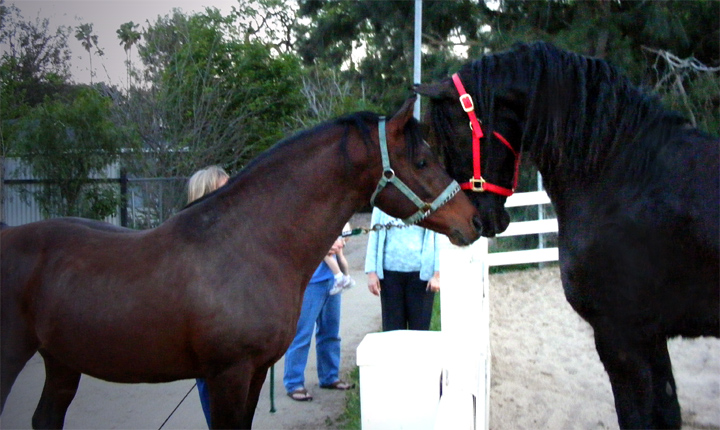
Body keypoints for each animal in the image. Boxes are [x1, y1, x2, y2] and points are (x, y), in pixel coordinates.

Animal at [1, 97, 484, 430]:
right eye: (422, 160)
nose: (476, 220)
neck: (248, 246)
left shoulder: (254, 374)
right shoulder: (228, 376)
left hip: (61, 360)